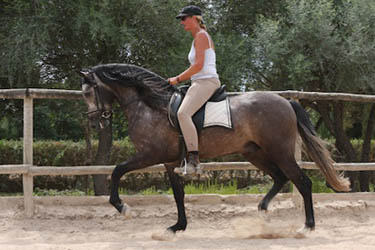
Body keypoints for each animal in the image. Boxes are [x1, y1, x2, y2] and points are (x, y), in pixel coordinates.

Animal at [80, 63, 352, 234]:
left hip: (280, 151)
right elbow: (178, 194)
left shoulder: (151, 154)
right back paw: (262, 210)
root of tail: (286, 101)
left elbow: (117, 170)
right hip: (254, 152)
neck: (149, 105)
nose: (94, 122)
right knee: (280, 177)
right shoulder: (170, 162)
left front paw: (122, 207)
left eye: (87, 92)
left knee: (302, 181)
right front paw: (178, 227)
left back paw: (307, 225)